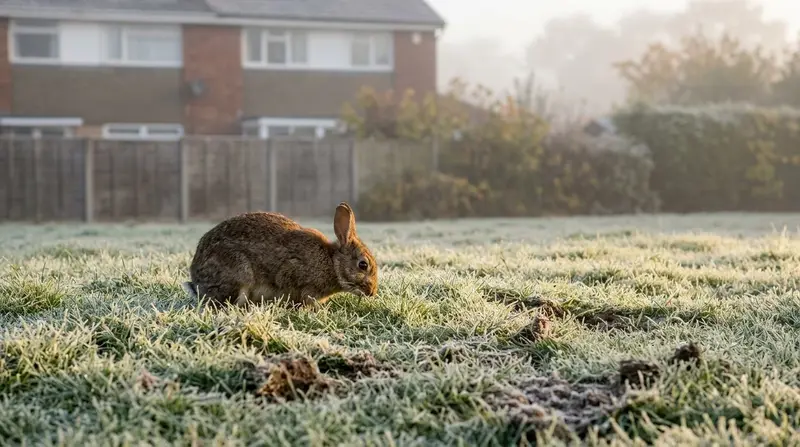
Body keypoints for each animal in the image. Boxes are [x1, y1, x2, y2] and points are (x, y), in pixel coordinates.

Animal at [182, 202, 378, 308]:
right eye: (363, 264)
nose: (372, 292)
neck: (332, 263)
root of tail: (197, 283)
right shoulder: (294, 274)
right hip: (238, 275)